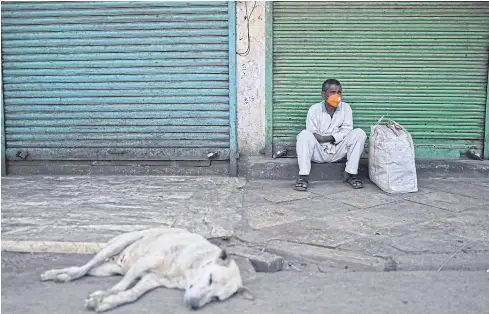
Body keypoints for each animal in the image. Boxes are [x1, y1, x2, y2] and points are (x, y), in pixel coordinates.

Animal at [40, 227, 254, 312]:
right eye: (210, 279)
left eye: (216, 298)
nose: (193, 305)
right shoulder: (145, 263)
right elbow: (121, 286)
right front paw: (101, 296)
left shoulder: (152, 280)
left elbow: (131, 294)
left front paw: (107, 302)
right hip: (119, 245)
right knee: (85, 267)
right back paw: (63, 275)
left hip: (107, 269)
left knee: (84, 269)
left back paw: (60, 273)